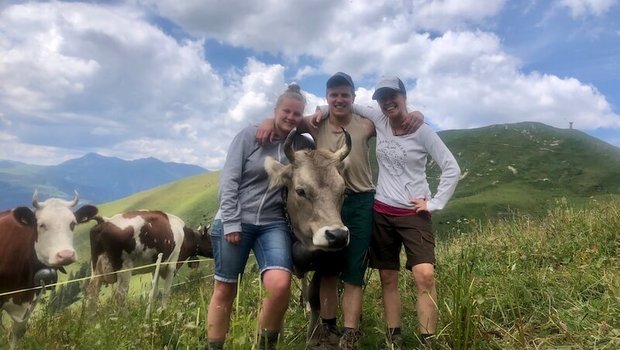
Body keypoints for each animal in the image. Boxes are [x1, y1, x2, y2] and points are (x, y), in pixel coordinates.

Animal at [264, 127, 352, 340]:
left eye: (344, 191)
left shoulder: (324, 263)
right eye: (301, 191)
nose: (337, 236)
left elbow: (315, 298)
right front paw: (280, 334)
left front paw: (311, 335)